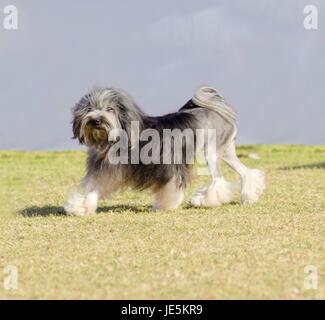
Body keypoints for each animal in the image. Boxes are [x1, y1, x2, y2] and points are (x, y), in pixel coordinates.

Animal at [64, 85, 264, 216]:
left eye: (110, 109)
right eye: (89, 108)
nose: (96, 120)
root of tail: (215, 109)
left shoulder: (167, 166)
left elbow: (170, 186)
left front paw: (166, 205)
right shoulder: (106, 171)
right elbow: (93, 189)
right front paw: (81, 207)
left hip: (211, 152)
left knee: (218, 179)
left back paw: (202, 200)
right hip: (226, 152)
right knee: (246, 172)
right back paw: (250, 196)